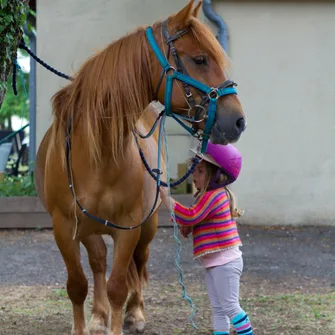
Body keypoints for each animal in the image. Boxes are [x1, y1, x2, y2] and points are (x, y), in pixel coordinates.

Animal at [34, 1, 247, 334]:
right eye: (200, 59)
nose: (238, 121)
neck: (97, 156)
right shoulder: (65, 227)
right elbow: (78, 285)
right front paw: (87, 323)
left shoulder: (130, 226)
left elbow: (119, 286)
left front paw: (124, 319)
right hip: (90, 230)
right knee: (98, 262)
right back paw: (98, 316)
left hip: (146, 229)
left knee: (138, 263)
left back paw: (135, 313)